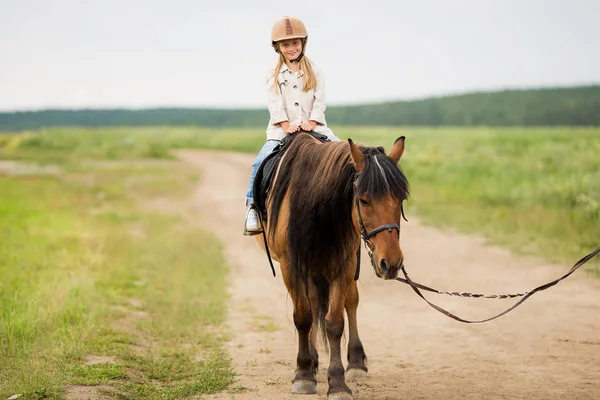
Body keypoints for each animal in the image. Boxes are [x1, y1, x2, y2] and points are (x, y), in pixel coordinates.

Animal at [255, 132, 410, 400]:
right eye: (363, 201)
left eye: (399, 199)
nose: (391, 263)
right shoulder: (291, 266)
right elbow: (303, 318)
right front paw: (303, 374)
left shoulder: (343, 265)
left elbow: (335, 322)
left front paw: (337, 383)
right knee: (310, 307)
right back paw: (312, 361)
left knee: (349, 302)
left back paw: (356, 362)